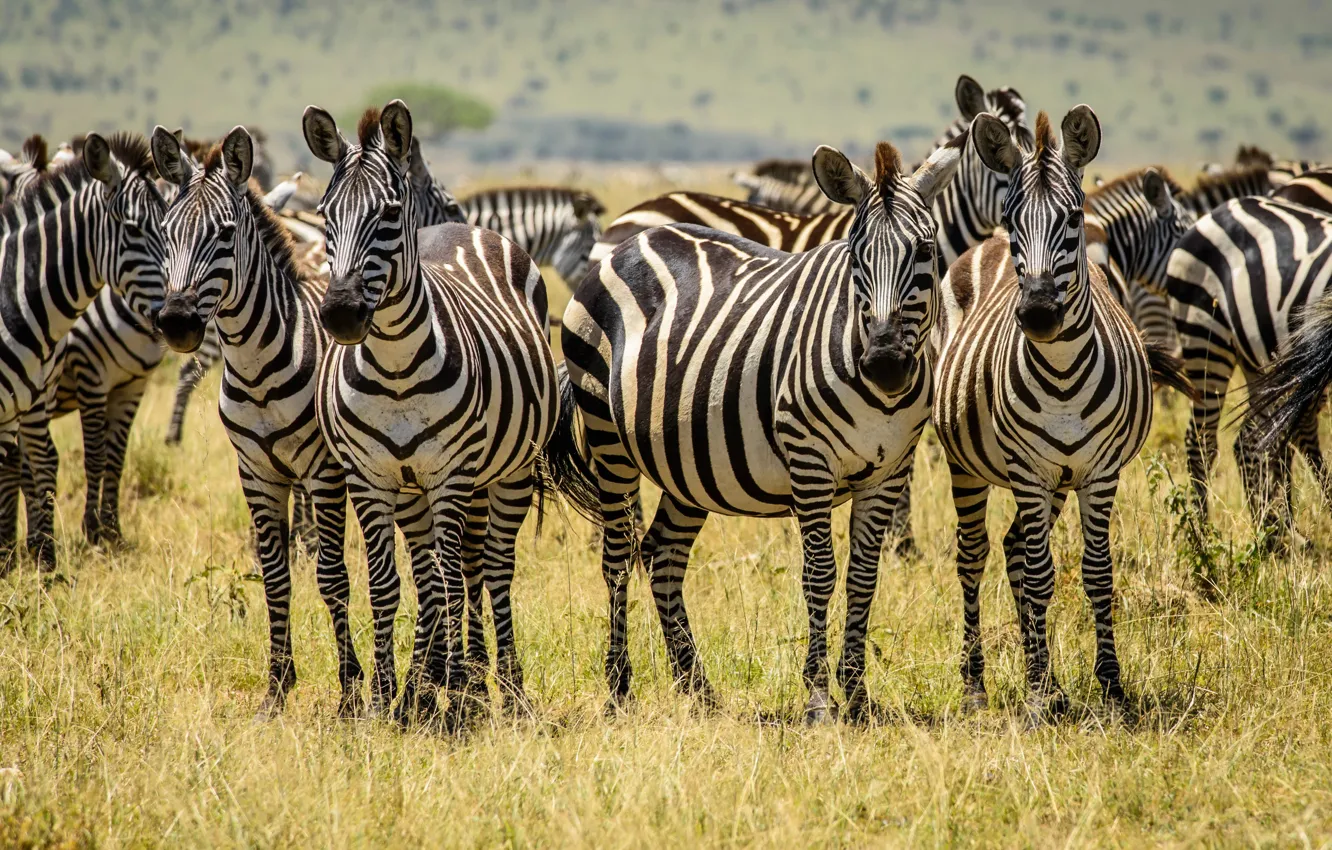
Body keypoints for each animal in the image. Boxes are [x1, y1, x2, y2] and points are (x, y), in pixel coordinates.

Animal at [0, 132, 166, 569]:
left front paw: (105, 534)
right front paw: (91, 533)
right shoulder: (91, 375)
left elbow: (110, 457)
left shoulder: (128, 386)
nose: (184, 317)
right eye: (133, 229)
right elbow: (93, 455)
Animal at [303, 100, 559, 723]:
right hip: (412, 489)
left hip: (509, 471)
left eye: (390, 213)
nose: (341, 315)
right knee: (434, 572)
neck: (396, 367)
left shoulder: (451, 473)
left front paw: (454, 693)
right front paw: (386, 695)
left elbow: (449, 581)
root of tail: (462, 228)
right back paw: (429, 684)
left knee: (490, 568)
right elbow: (389, 585)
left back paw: (503, 686)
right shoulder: (369, 478)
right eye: (323, 214)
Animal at [556, 136, 965, 722]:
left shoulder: (889, 470)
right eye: (856, 256)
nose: (885, 364)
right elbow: (820, 574)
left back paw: (697, 688)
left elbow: (865, 576)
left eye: (927, 252)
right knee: (616, 558)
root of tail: (630, 240)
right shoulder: (810, 460)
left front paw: (858, 697)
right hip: (608, 439)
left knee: (661, 555)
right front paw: (818, 699)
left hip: (688, 461)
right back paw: (619, 690)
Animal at [934, 107, 1173, 721]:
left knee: (1016, 548)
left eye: (1071, 219)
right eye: (1013, 218)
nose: (1039, 313)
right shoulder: (1027, 471)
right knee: (975, 556)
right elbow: (1043, 576)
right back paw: (979, 684)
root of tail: (982, 246)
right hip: (969, 465)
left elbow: (1096, 573)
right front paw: (1039, 695)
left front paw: (1108, 685)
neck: (1063, 373)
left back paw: (1047, 678)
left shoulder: (1099, 472)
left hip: (1059, 481)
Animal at [1164, 178, 1332, 543]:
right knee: (1202, 440)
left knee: (1256, 440)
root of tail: (1218, 211)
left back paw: (1274, 532)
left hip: (1258, 358)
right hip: (1205, 336)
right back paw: (1205, 536)